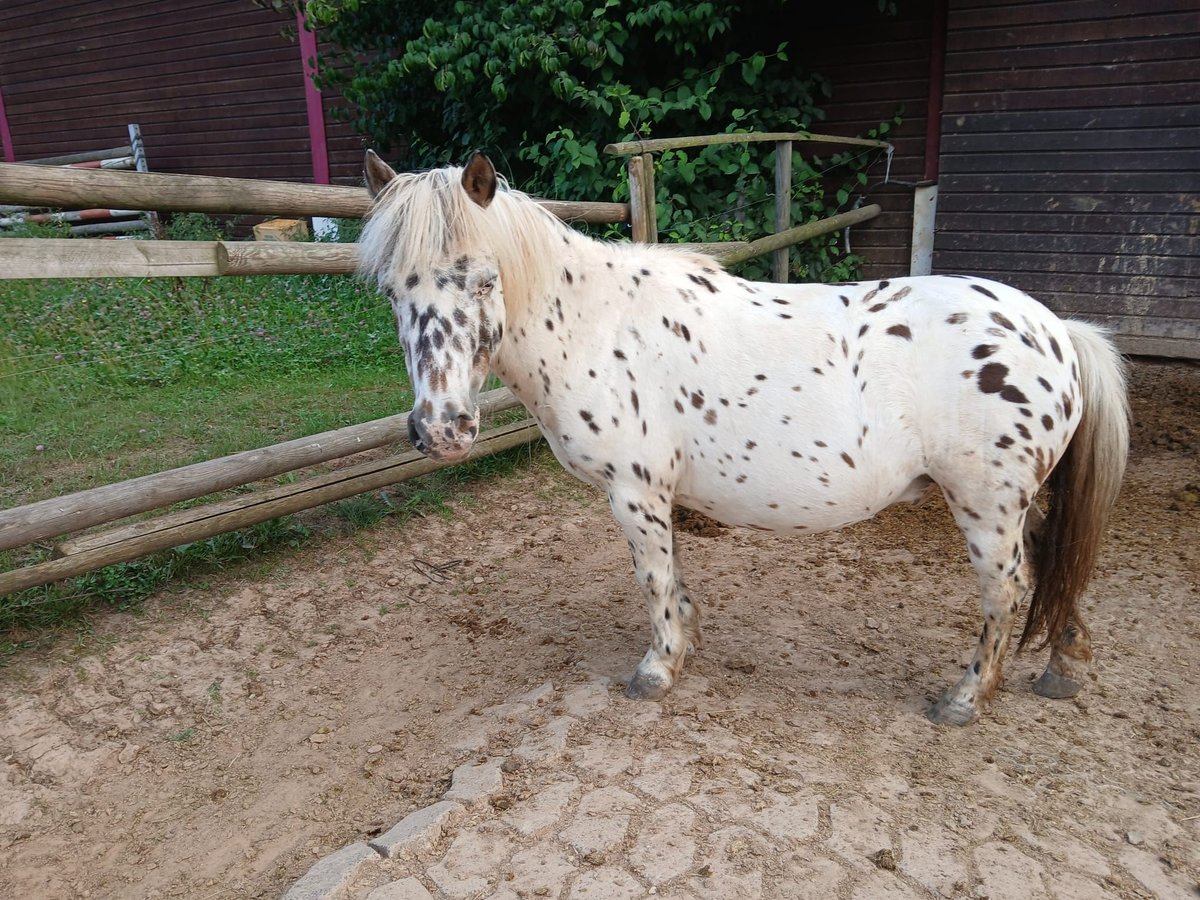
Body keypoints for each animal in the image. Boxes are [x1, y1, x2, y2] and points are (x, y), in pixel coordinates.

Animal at [355, 150, 1123, 724]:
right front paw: (688, 641)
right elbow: (674, 574)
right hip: (1021, 503)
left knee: (1008, 590)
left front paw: (658, 667)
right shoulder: (658, 495)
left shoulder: (634, 493)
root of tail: (1055, 330)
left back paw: (964, 699)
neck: (596, 323)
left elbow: (654, 576)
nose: (440, 429)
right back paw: (1064, 664)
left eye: (484, 281)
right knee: (1053, 561)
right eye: (392, 292)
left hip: (986, 507)